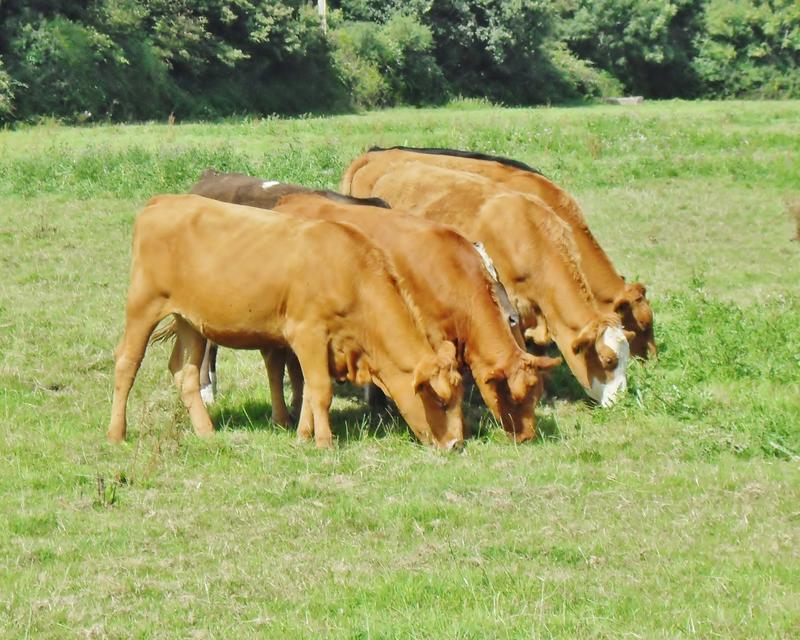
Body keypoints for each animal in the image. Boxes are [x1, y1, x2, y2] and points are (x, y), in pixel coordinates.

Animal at [109, 195, 466, 450]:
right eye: (439, 399)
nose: (456, 444)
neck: (349, 272)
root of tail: (162, 201)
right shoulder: (307, 334)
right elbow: (319, 389)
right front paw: (324, 442)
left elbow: (307, 389)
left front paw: (304, 434)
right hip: (143, 305)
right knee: (127, 363)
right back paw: (117, 433)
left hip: (191, 322)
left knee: (186, 374)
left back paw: (206, 431)